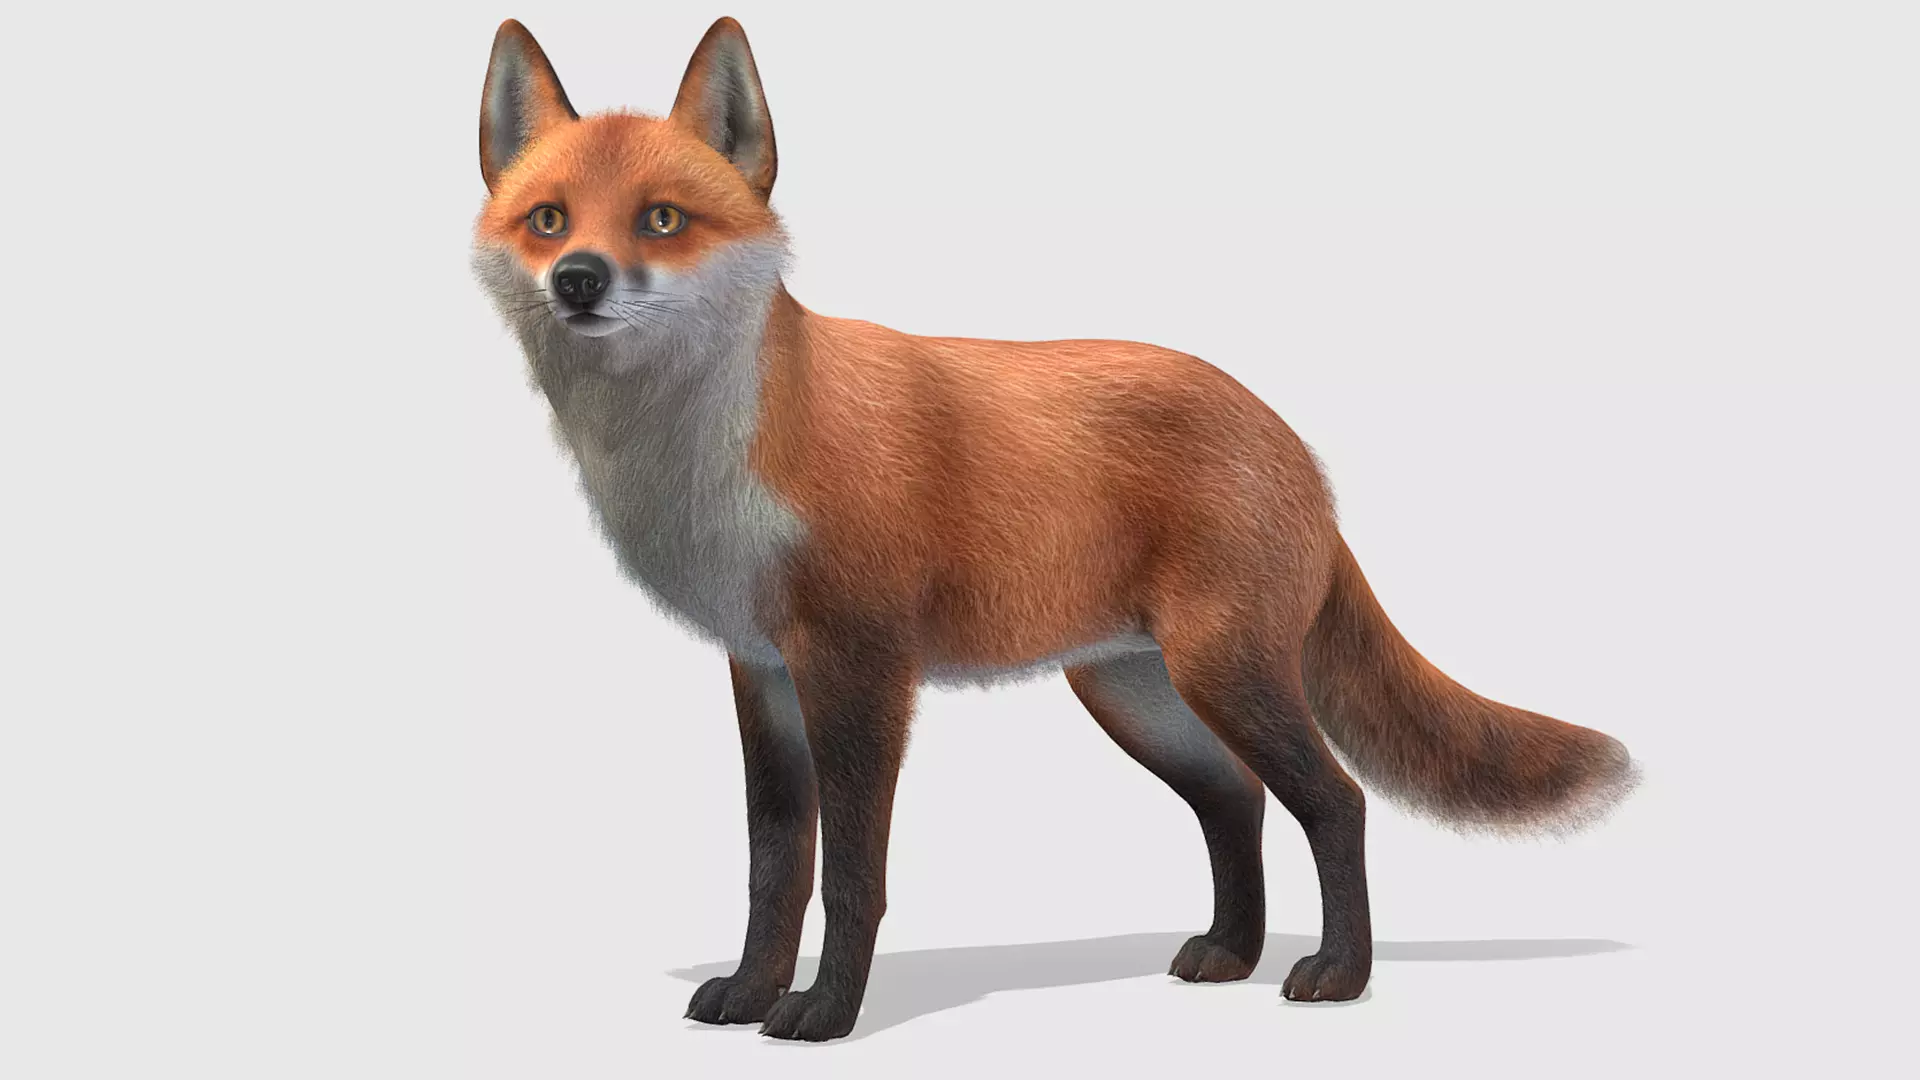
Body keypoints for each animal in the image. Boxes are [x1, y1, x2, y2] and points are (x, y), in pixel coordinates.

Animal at [471, 17, 1639, 1042]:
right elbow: (773, 870)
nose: (579, 281)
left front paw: (824, 1016)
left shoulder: (859, 665)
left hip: (1221, 674)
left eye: (662, 220)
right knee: (1240, 803)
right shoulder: (762, 671)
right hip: (1137, 694)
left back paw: (1335, 976)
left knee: (1335, 802)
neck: (713, 451)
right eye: (549, 219)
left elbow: (850, 875)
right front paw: (754, 994)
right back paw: (1230, 953)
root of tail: (1291, 441)